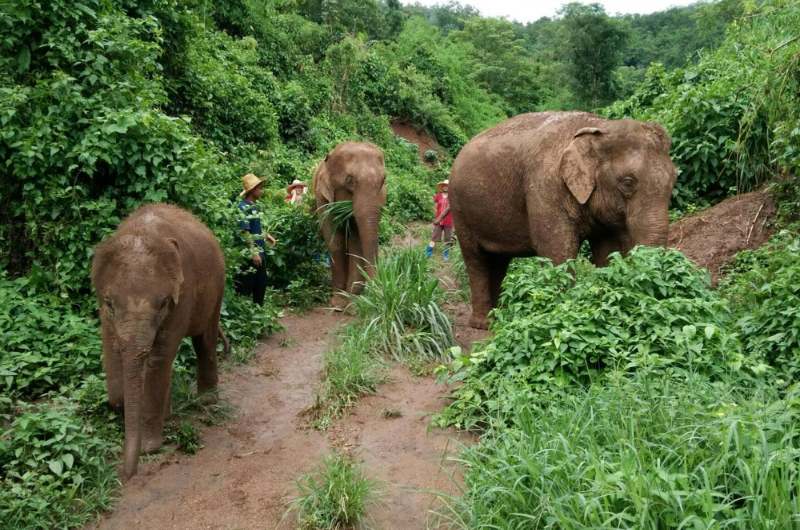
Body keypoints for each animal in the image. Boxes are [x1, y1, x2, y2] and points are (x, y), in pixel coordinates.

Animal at [91, 203, 226, 479]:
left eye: (163, 303)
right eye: (110, 303)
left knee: (204, 340)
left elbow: (158, 358)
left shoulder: (183, 294)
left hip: (217, 286)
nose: (126, 475)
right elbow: (112, 352)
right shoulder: (104, 314)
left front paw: (149, 448)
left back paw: (206, 401)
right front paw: (122, 405)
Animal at [313, 141, 386, 305]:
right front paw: (338, 301)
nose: (376, 291)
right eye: (349, 180)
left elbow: (356, 243)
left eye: (383, 181)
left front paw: (351, 297)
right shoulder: (322, 198)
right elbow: (335, 241)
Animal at [449, 111, 677, 329]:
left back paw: (497, 318)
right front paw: (559, 314)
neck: (600, 125)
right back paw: (483, 324)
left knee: (498, 261)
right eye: (628, 182)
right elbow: (557, 249)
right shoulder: (544, 187)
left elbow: (607, 249)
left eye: (674, 181)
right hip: (459, 210)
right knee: (476, 259)